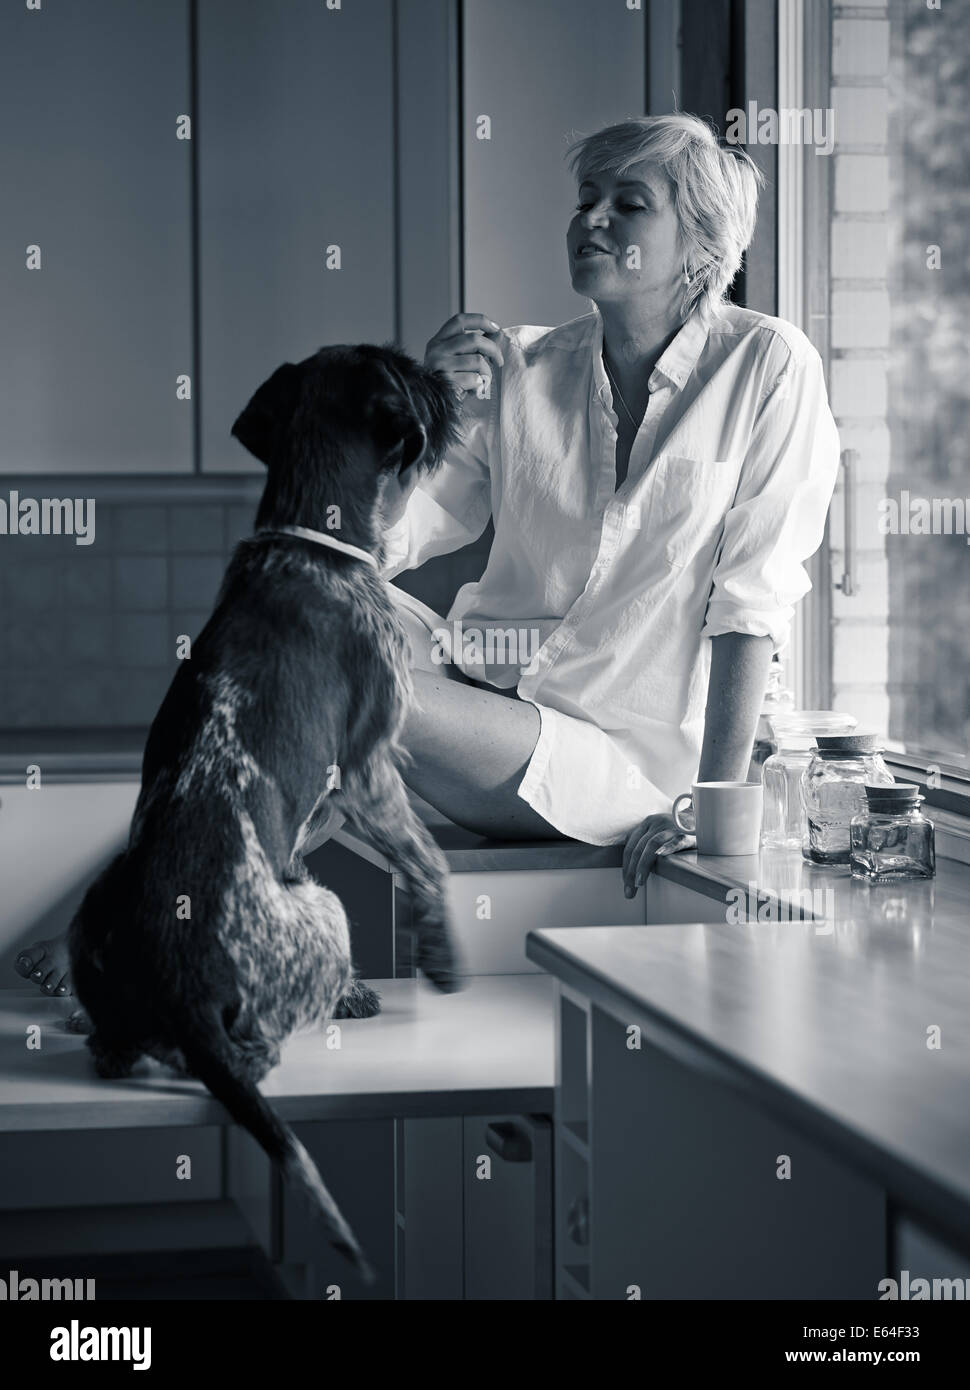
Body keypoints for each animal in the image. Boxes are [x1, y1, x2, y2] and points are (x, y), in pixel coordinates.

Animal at [65, 344, 464, 1278]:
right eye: (405, 369)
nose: (447, 375)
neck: (306, 537)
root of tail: (181, 993)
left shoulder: (328, 811)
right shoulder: (369, 770)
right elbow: (429, 862)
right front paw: (439, 955)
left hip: (94, 913)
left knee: (116, 1049)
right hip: (323, 915)